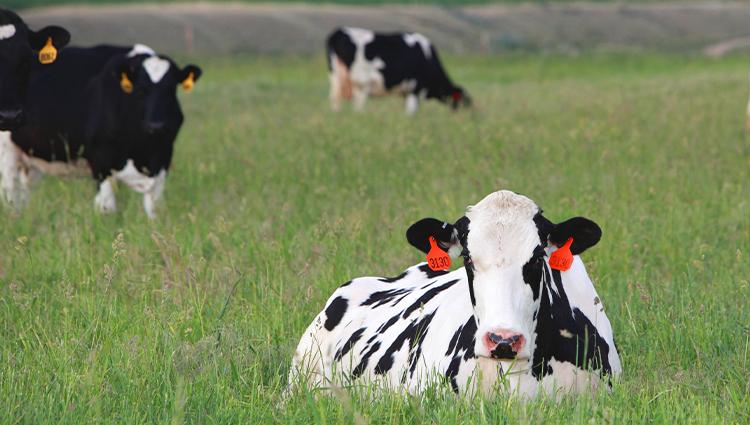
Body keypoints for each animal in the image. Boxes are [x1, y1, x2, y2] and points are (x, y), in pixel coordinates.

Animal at [0, 43, 203, 217]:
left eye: (171, 89)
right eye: (141, 90)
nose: (157, 125)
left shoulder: (162, 157)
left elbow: (154, 207)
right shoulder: (100, 160)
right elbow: (106, 208)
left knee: (24, 191)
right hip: (6, 153)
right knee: (9, 193)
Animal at [328, 26, 470, 114]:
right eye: (465, 102)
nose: (467, 118)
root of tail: (338, 33)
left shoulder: (407, 93)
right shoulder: (414, 89)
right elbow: (411, 113)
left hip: (336, 78)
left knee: (335, 101)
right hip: (361, 84)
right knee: (357, 107)